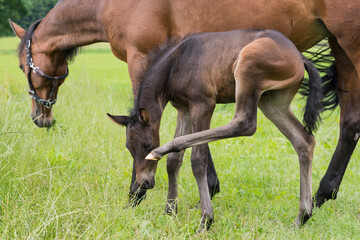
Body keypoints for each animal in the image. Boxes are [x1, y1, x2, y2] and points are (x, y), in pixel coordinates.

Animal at [8, 0, 360, 210]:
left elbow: (153, 126)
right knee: (347, 123)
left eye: (24, 67)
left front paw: (140, 189)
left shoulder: (144, 58)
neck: (107, 6)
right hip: (337, 49)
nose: (40, 118)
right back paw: (322, 194)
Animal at [108, 30, 322, 231]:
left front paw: (206, 220)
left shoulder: (203, 105)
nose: (143, 182)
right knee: (303, 140)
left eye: (148, 144)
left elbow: (197, 160)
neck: (177, 62)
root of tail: (299, 56)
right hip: (272, 101)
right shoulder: (183, 109)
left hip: (248, 67)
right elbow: (174, 161)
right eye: (129, 148)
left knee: (245, 123)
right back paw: (302, 217)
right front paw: (170, 211)